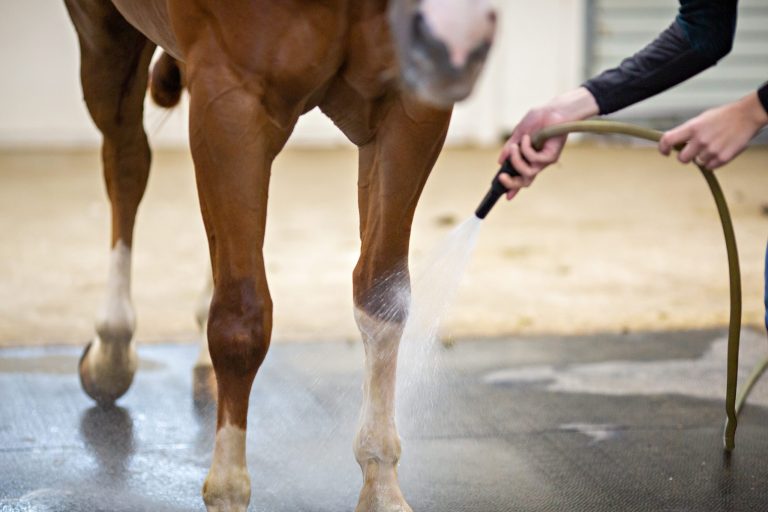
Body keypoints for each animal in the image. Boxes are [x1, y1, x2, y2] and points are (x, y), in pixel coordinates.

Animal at [63, 0, 497, 510]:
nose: (466, 29)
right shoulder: (232, 99)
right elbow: (240, 324)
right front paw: (228, 489)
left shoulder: (410, 108)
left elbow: (382, 297)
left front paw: (381, 486)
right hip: (104, 35)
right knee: (127, 160)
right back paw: (111, 352)